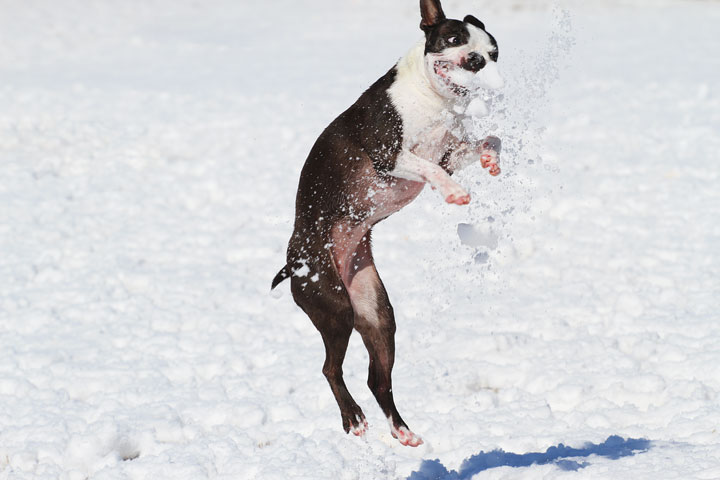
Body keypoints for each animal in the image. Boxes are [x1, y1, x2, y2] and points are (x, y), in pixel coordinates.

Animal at [272, 0, 504, 446]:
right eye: (453, 39)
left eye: (493, 53)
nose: (475, 59)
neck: (433, 99)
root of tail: (292, 263)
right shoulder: (388, 155)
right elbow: (429, 167)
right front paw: (453, 192)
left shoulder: (451, 151)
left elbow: (490, 140)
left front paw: (490, 158)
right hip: (334, 305)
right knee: (330, 368)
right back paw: (354, 419)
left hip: (377, 313)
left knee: (378, 380)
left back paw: (402, 430)